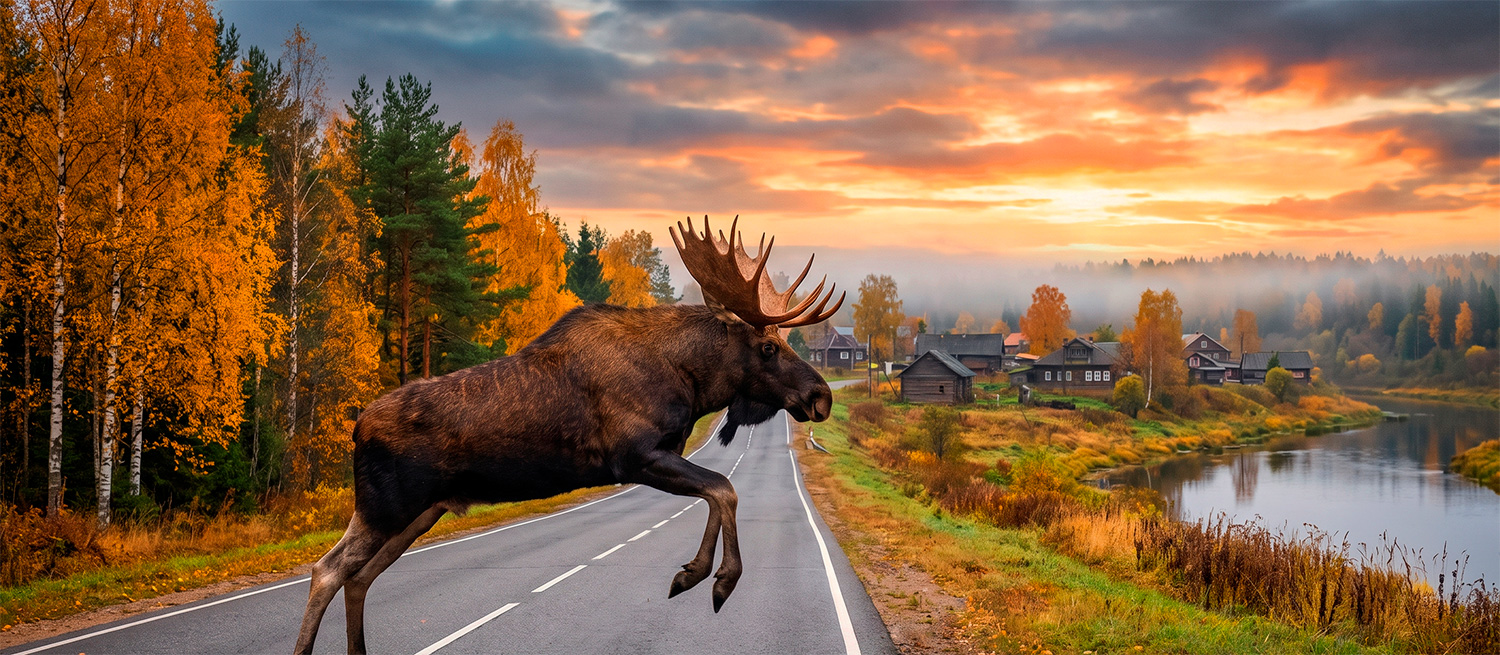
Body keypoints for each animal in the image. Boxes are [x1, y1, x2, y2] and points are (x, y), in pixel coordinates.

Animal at [293, 216, 845, 655]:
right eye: (767, 347)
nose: (821, 396)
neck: (690, 380)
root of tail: (357, 427)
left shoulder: (659, 455)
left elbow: (717, 492)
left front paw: (693, 572)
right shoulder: (635, 455)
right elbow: (724, 488)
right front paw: (714, 579)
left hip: (418, 513)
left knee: (358, 577)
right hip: (385, 508)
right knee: (326, 571)